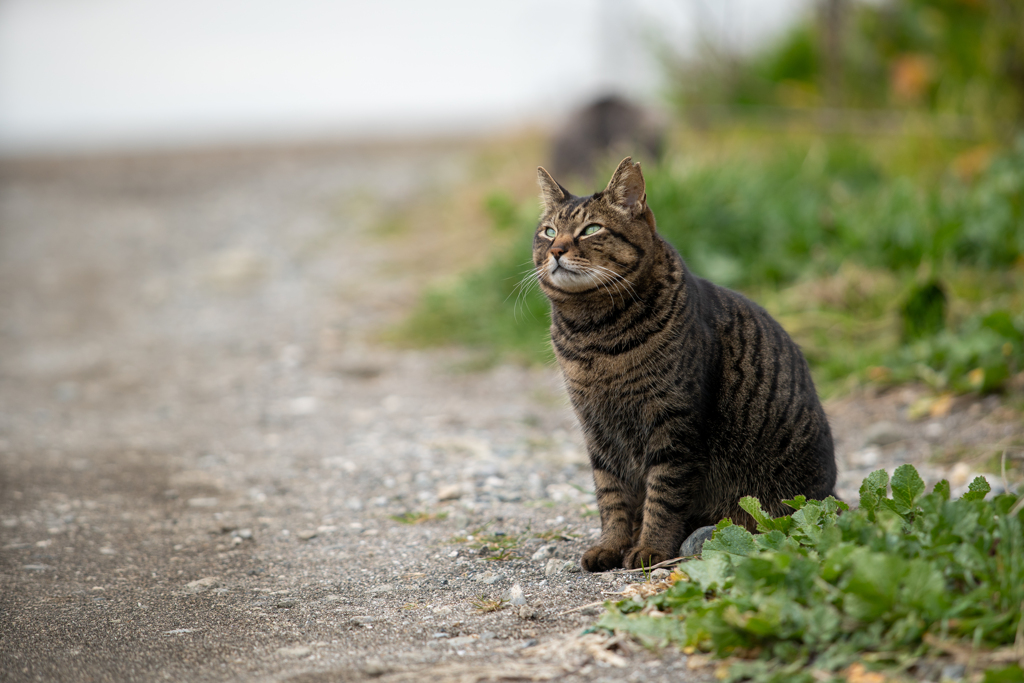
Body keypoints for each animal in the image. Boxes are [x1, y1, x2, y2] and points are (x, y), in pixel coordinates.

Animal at [532, 156, 835, 573]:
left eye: (591, 230)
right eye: (548, 232)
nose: (557, 251)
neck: (594, 335)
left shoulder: (674, 425)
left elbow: (664, 495)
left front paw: (650, 549)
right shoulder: (598, 429)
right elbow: (611, 495)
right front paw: (611, 546)